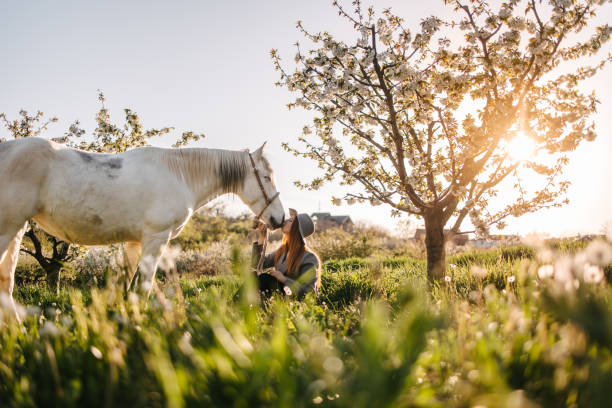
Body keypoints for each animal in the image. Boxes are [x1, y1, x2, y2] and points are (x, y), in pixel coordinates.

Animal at [0, 136, 286, 302]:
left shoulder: (134, 243)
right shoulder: (156, 239)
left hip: (17, 230)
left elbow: (126, 288)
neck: (180, 174)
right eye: (267, 177)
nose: (280, 219)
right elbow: (144, 288)